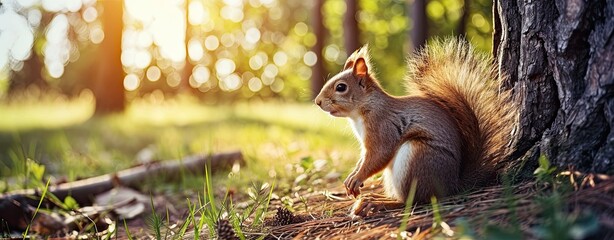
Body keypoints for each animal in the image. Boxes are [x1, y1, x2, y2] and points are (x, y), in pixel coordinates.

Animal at [316, 38, 516, 217]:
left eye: (341, 87)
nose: (317, 102)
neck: (363, 110)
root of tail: (452, 185)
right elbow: (363, 159)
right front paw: (353, 175)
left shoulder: (382, 127)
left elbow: (378, 156)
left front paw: (356, 178)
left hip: (415, 159)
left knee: (409, 201)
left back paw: (376, 202)